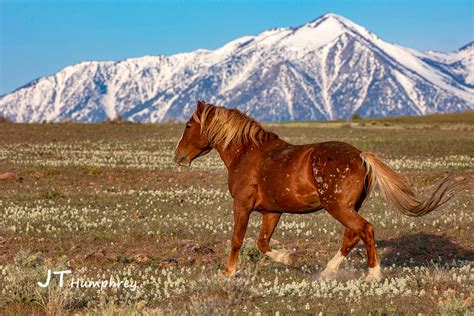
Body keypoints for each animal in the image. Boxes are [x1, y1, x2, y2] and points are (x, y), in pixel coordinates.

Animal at [174, 100, 460, 280]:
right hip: (348, 207)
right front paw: (288, 259)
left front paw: (228, 273)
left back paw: (373, 274)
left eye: (188, 125)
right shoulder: (272, 212)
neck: (247, 154)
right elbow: (262, 242)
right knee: (352, 235)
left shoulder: (242, 206)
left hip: (337, 206)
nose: (178, 157)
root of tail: (360, 156)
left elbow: (237, 240)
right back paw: (327, 272)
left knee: (365, 230)